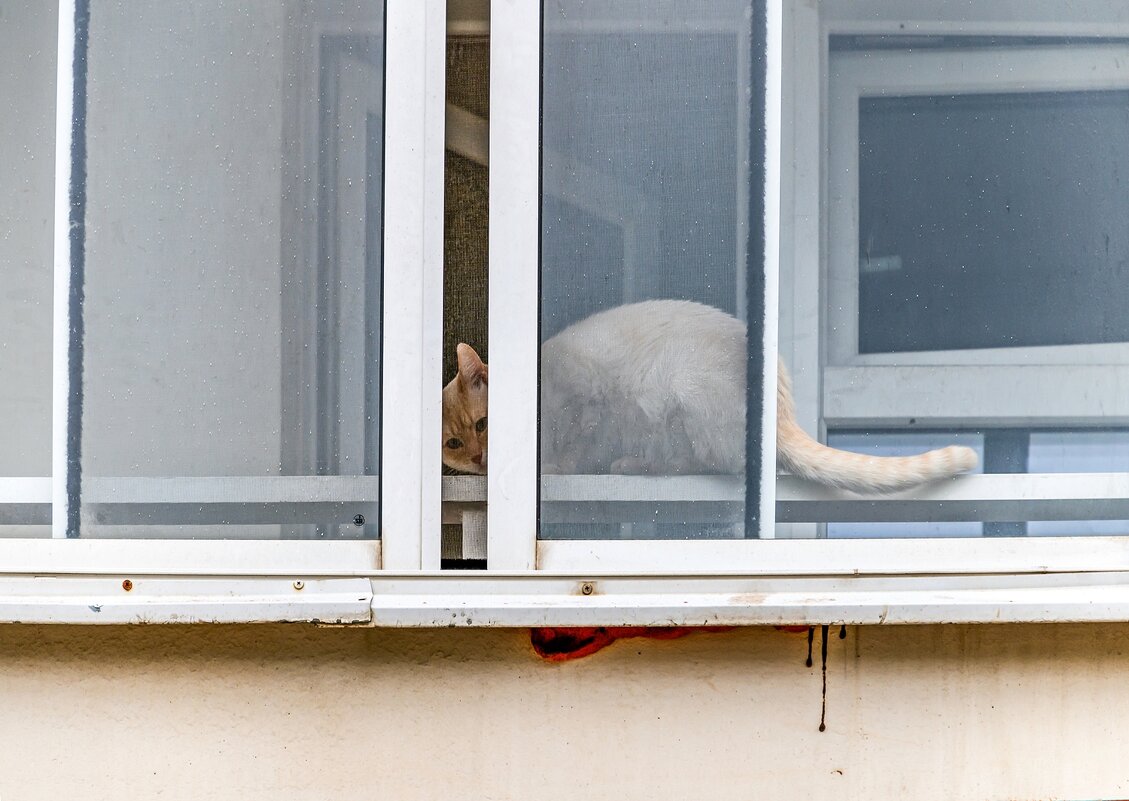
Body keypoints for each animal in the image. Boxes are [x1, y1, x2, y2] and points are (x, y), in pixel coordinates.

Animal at [440, 295, 979, 490]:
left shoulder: (585, 402)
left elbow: (575, 447)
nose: (482, 458)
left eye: (485, 424)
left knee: (709, 463)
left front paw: (554, 466)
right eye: (454, 444)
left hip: (684, 390)